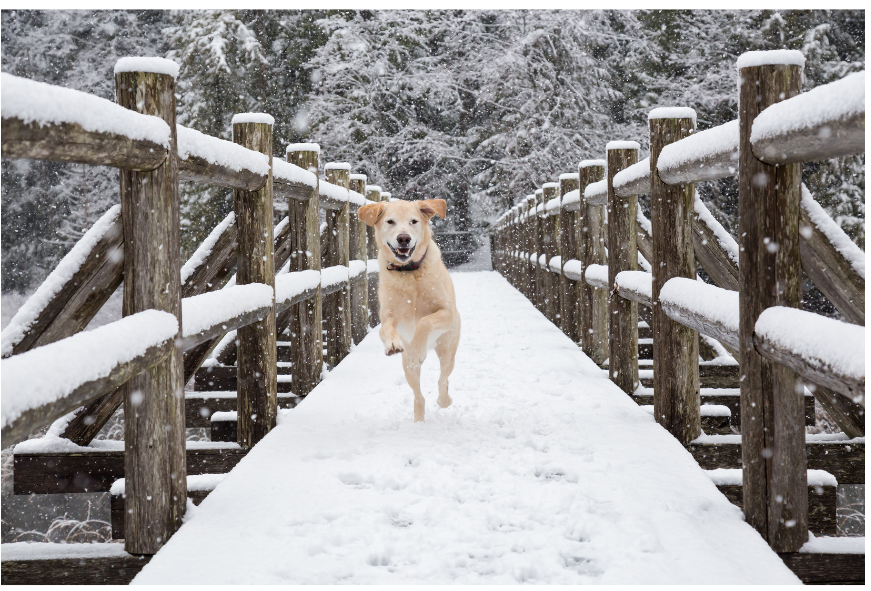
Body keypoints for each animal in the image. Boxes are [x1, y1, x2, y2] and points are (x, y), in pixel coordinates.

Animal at [356, 201, 460, 424]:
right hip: (408, 370)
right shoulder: (389, 315)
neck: (409, 271)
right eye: (390, 221)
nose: (403, 238)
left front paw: (417, 351)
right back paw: (418, 421)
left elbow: (425, 321)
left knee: (443, 379)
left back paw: (444, 400)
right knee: (419, 395)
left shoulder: (446, 312)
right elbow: (385, 330)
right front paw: (393, 344)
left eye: (413, 221)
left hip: (448, 350)